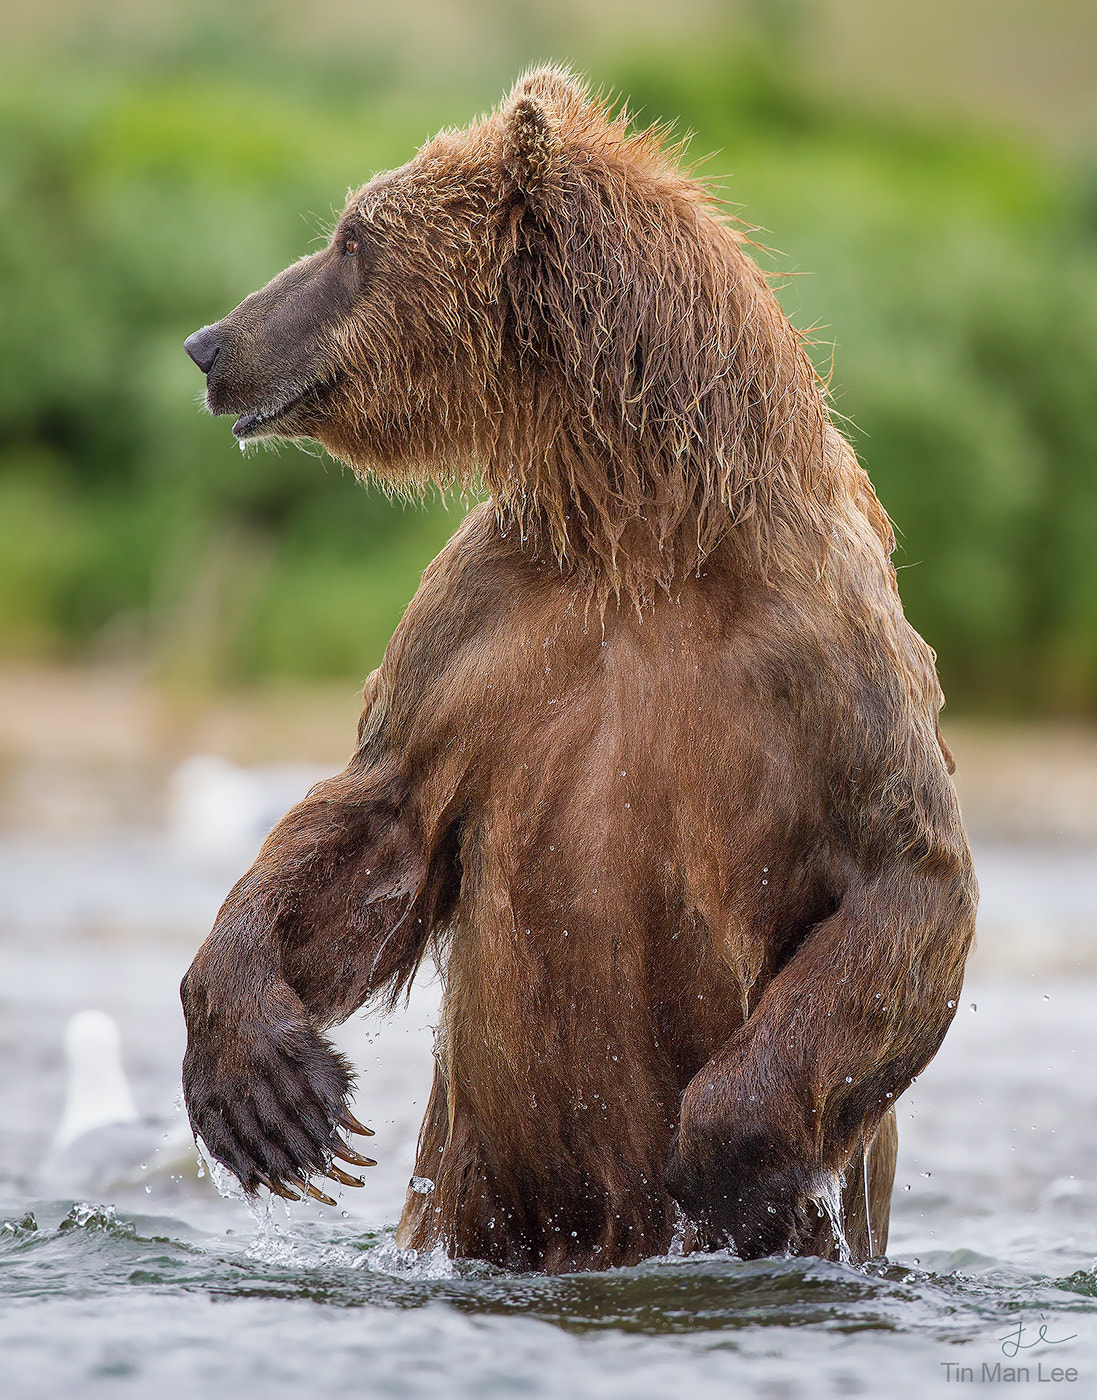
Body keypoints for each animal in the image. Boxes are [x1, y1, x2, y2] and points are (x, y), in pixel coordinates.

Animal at [180, 63, 979, 1271]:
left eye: (354, 237)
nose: (211, 341)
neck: (644, 527)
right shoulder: (481, 624)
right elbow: (372, 822)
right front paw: (271, 1095)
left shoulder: (826, 650)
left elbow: (904, 872)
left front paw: (726, 1158)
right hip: (475, 1181)